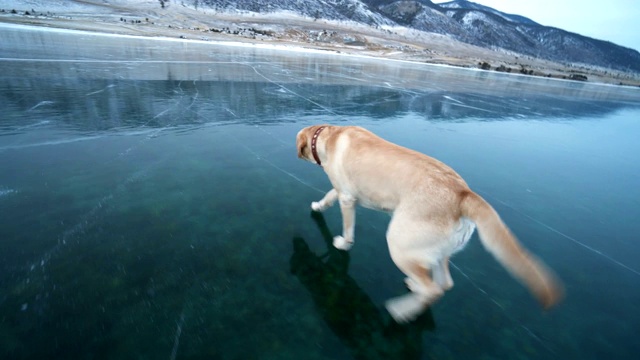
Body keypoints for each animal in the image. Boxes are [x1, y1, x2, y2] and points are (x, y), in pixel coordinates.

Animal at [298, 125, 564, 322]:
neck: (328, 135)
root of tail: (463, 194)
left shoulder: (347, 198)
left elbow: (347, 226)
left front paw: (343, 243)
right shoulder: (341, 191)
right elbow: (328, 196)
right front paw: (318, 206)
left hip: (399, 243)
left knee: (433, 289)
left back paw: (403, 311)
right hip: (435, 250)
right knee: (444, 283)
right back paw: (415, 289)